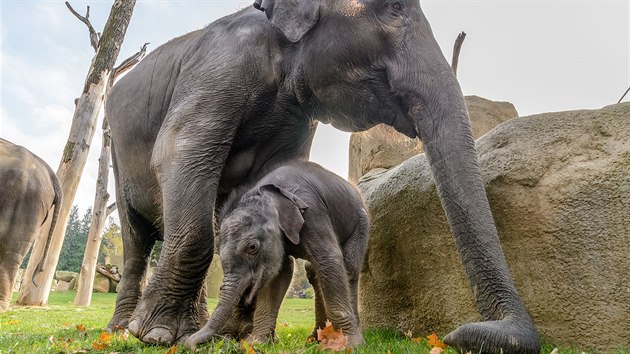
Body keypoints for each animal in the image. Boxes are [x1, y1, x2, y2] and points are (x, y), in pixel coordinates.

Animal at [185, 160, 370, 348]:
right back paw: (315, 339)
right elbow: (278, 275)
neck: (266, 196)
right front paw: (254, 344)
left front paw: (351, 345)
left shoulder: (313, 212)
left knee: (348, 268)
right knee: (314, 273)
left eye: (252, 247)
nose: (191, 345)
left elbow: (329, 260)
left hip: (361, 223)